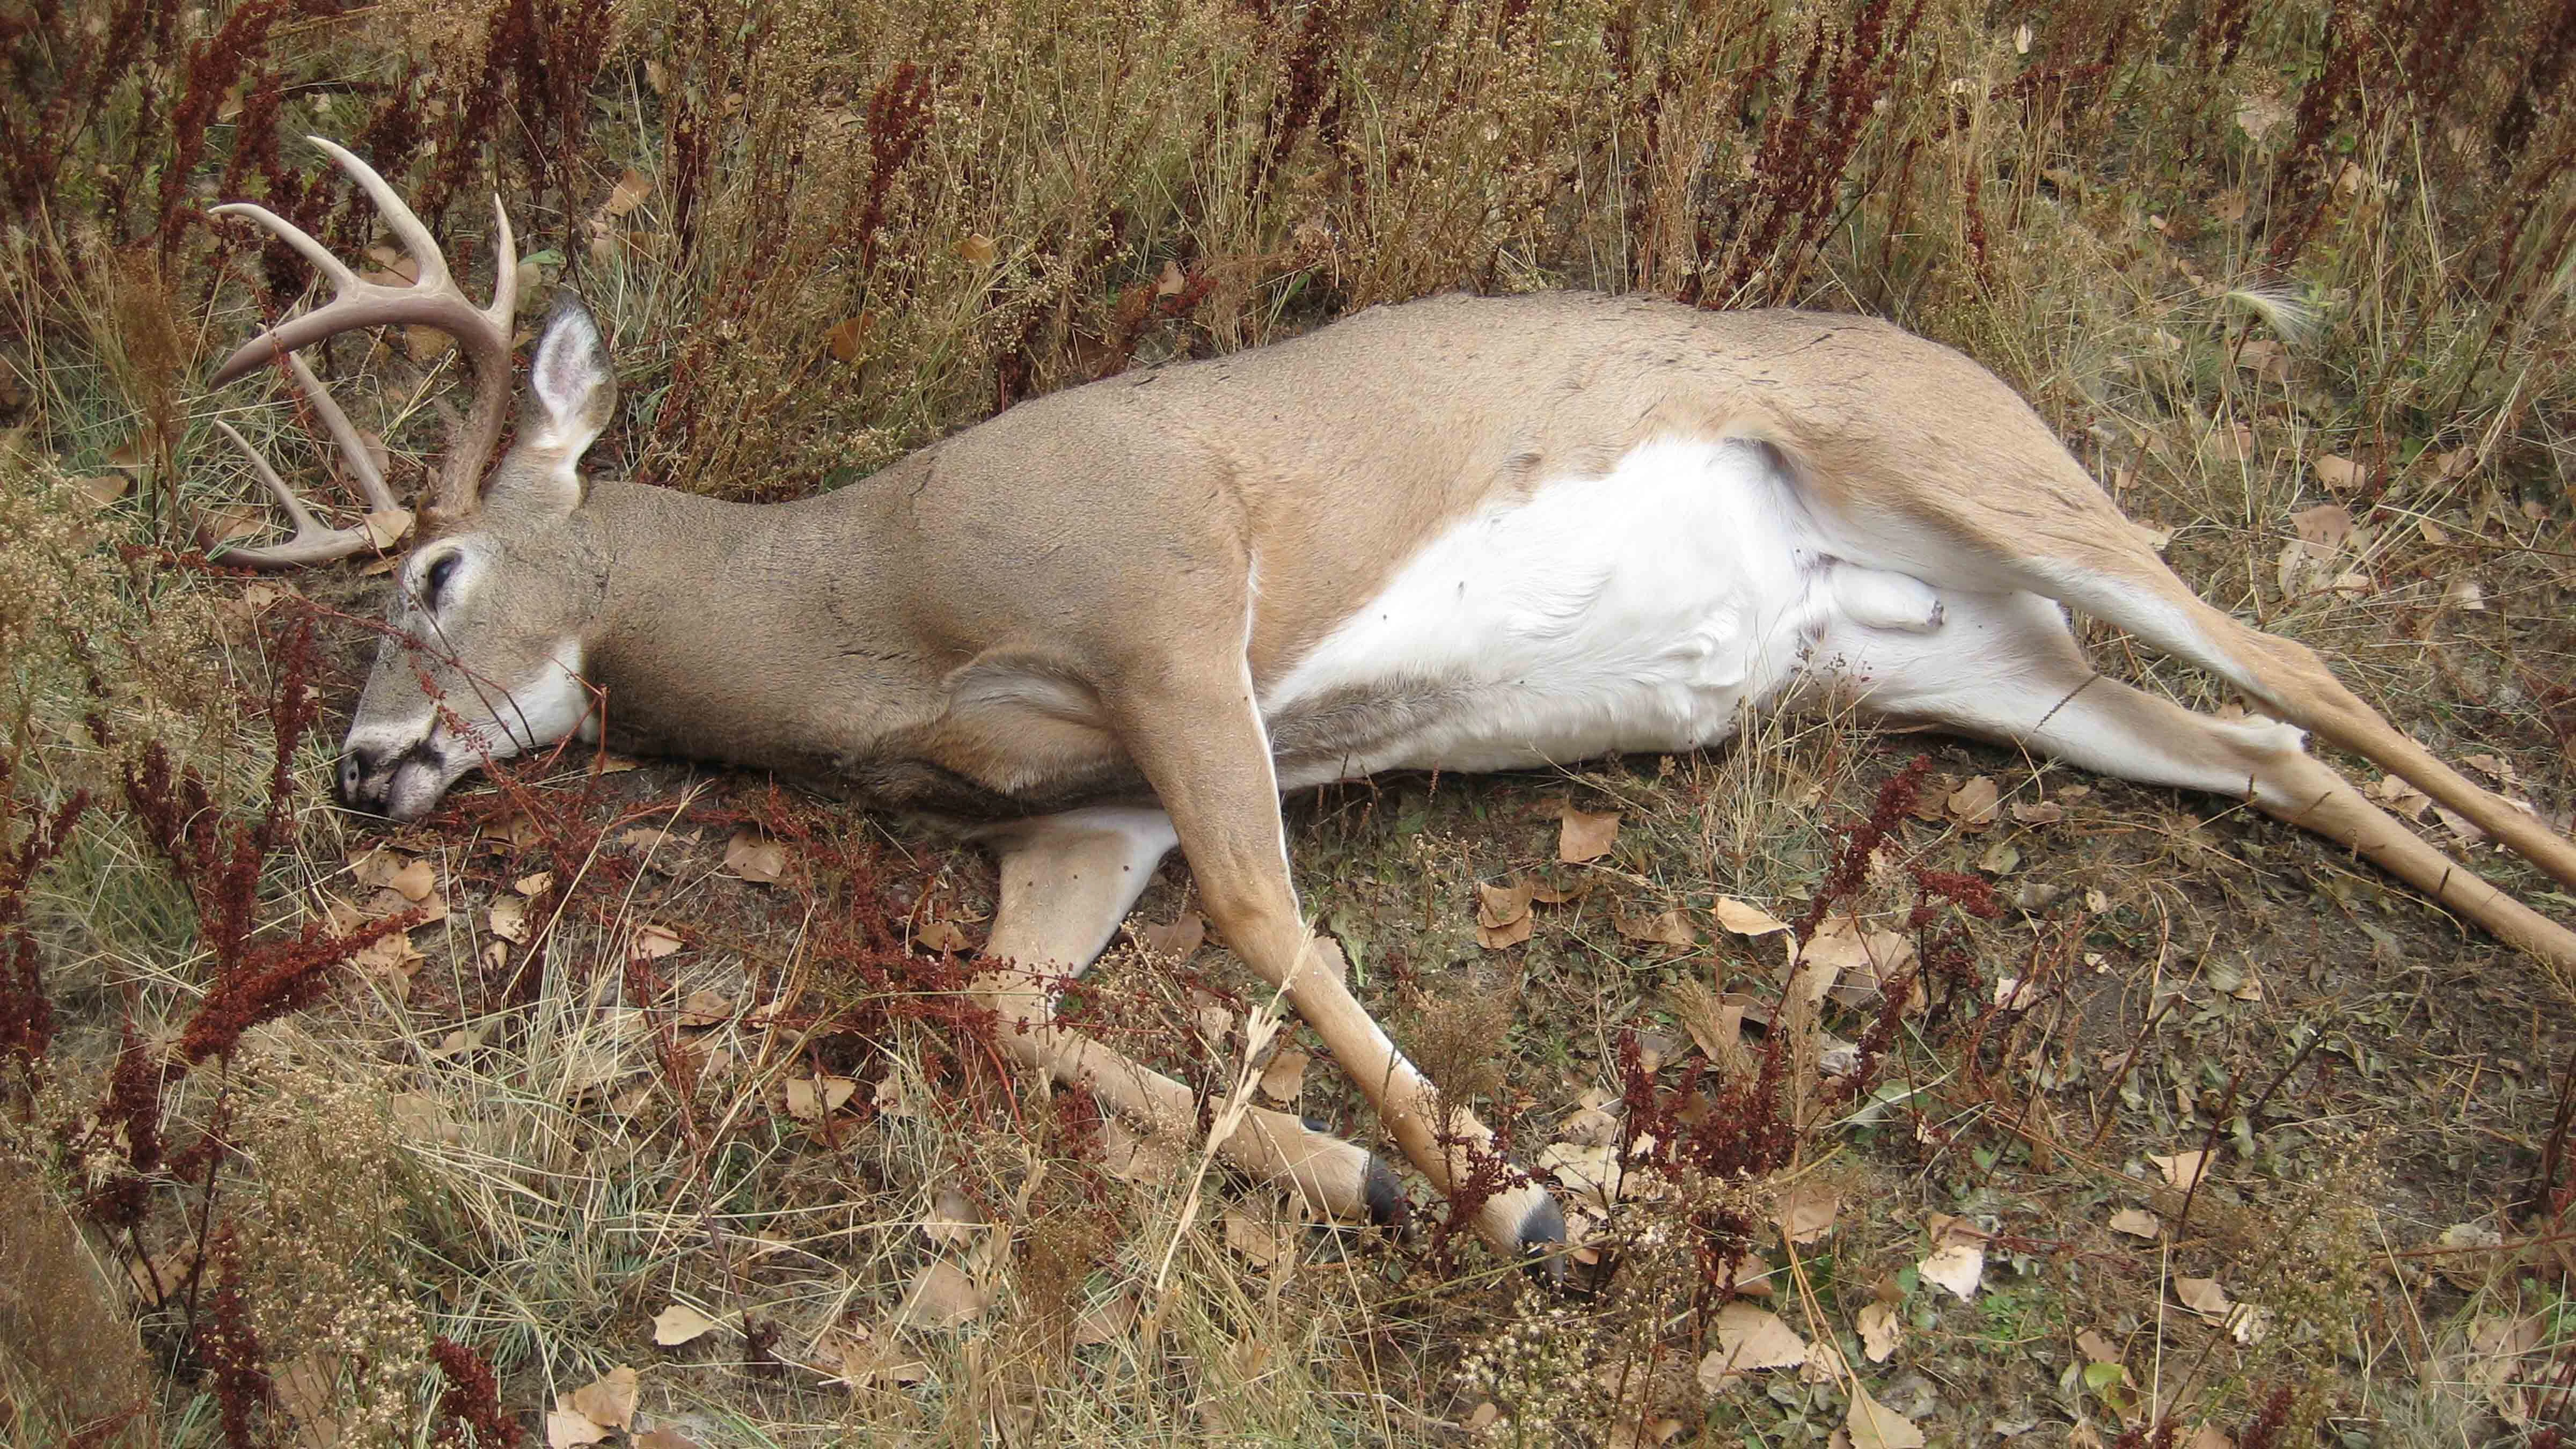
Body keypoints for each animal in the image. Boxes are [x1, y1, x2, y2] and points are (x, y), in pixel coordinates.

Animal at [205, 138, 2576, 1269]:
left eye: (432, 573)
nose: (361, 766)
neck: (874, 609)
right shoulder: (1082, 806)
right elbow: (1001, 1015)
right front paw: (1400, 1184)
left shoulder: (1170, 594)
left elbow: (1274, 923)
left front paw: (1519, 1194)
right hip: (1961, 658)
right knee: (2265, 753)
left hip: (1989, 475)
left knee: (2303, 666)